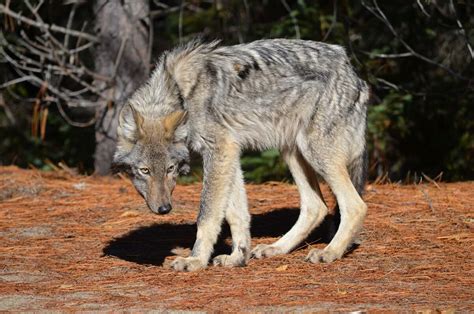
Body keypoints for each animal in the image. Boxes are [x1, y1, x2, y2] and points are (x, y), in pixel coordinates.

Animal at [112, 38, 370, 270]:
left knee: (355, 206)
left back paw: (331, 252)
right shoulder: (230, 154)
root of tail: (354, 73)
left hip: (315, 152)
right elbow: (237, 215)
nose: (164, 209)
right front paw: (238, 257)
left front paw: (195, 261)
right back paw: (275, 248)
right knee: (316, 207)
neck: (182, 95)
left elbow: (207, 215)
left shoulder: (219, 151)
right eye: (144, 171)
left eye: (170, 169)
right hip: (292, 152)